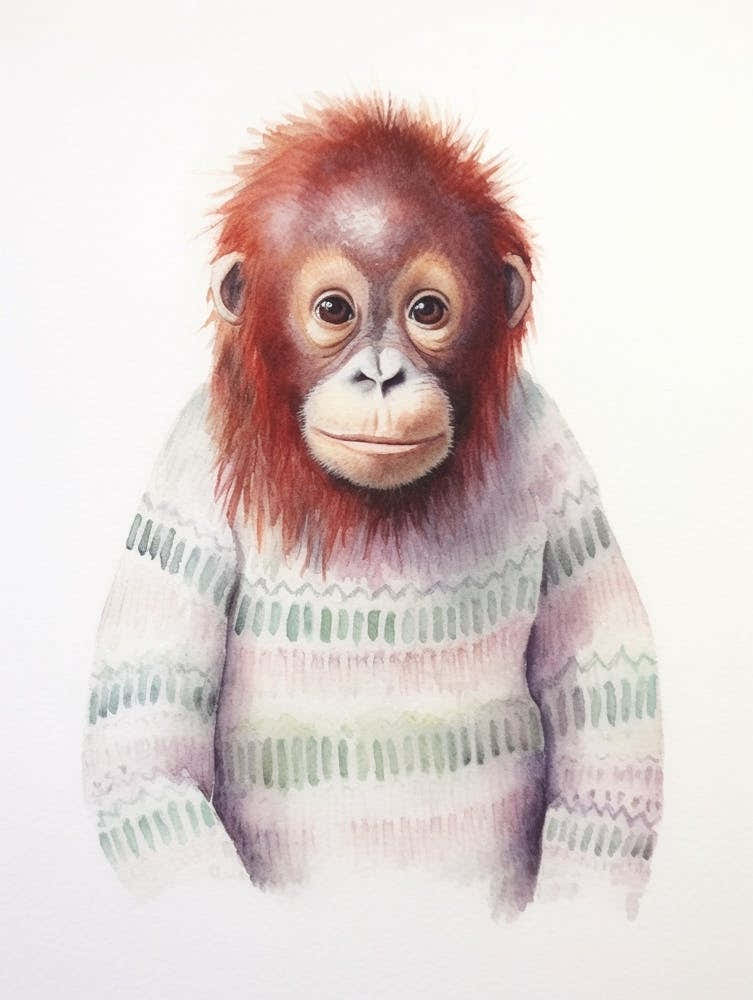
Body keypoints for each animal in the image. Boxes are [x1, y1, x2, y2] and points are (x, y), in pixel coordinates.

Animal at [83, 97, 662, 918]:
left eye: (427, 310)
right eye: (334, 309)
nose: (383, 375)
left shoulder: (552, 446)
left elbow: (598, 686)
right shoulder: (188, 465)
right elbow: (146, 730)